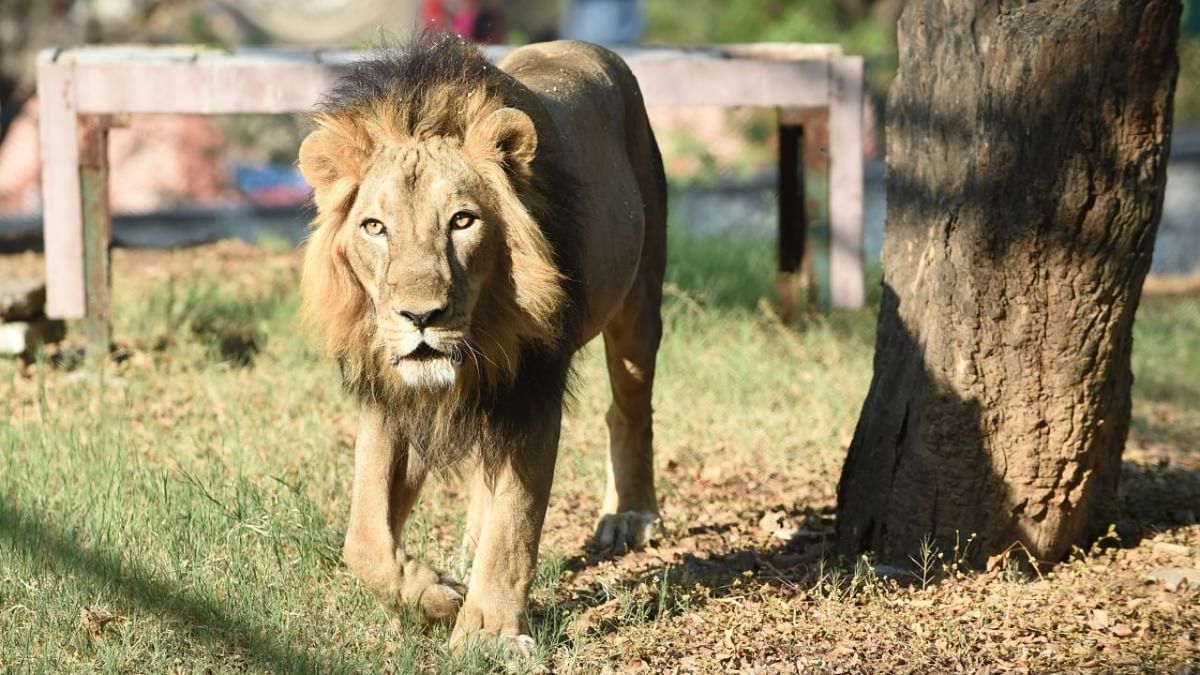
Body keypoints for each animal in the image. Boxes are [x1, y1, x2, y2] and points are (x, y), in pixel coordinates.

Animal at [294, 32, 662, 653]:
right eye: (375, 227)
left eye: (462, 221)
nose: (421, 316)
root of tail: (585, 45)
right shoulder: (392, 393)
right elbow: (363, 539)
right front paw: (437, 595)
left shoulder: (532, 389)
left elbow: (514, 526)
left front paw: (487, 634)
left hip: (639, 303)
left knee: (630, 409)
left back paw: (629, 517)